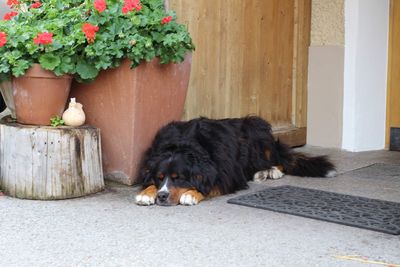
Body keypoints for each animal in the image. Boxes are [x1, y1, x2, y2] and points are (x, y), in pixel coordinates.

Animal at [136, 116, 336, 206]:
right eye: (160, 177)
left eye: (179, 178)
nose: (162, 196)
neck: (183, 143)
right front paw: (147, 192)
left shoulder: (229, 176)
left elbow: (211, 186)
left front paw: (191, 194)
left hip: (257, 131)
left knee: (280, 160)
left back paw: (271, 171)